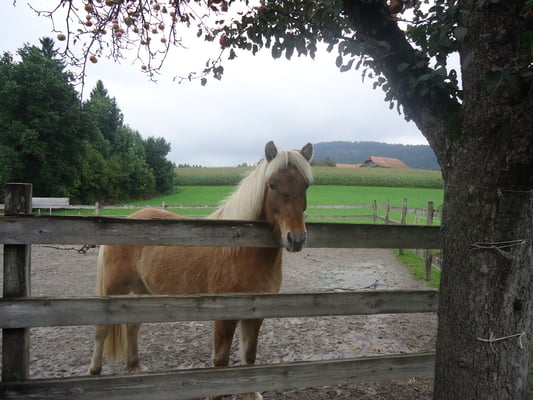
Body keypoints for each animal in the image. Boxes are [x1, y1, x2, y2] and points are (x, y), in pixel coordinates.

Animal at [88, 141, 313, 400]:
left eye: (305, 185)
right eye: (272, 184)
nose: (296, 238)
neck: (241, 250)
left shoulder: (255, 313)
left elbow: (249, 357)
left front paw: (250, 393)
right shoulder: (224, 316)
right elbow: (220, 360)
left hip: (141, 290)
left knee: (132, 325)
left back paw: (135, 367)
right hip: (113, 290)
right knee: (101, 329)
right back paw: (94, 372)